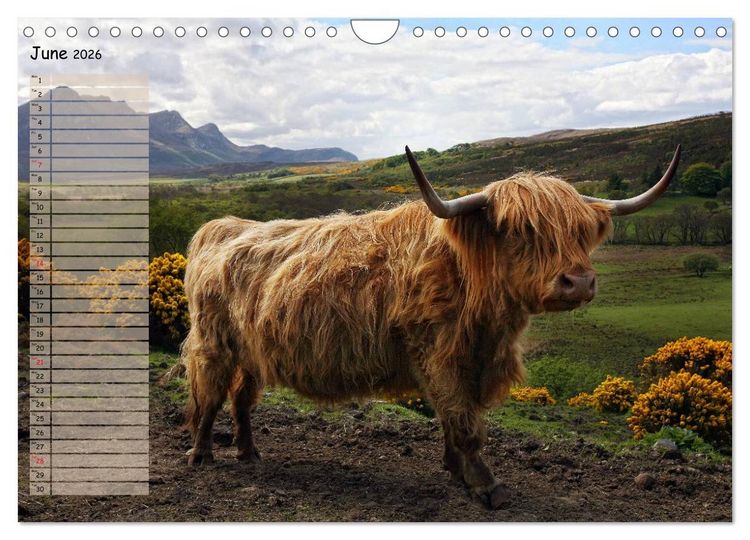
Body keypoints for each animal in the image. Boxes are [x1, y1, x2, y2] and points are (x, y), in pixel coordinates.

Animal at [181, 145, 681, 508]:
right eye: (522, 231)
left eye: (580, 232)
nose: (578, 282)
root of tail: (223, 226)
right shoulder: (438, 355)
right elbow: (463, 421)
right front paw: (485, 484)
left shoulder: (471, 359)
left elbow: (456, 417)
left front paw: (455, 470)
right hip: (214, 342)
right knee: (210, 396)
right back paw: (201, 454)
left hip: (252, 350)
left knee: (242, 398)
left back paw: (249, 452)